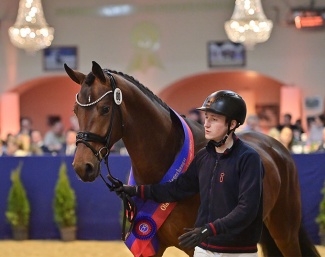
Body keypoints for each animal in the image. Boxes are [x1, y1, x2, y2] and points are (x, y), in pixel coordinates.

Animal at [64, 61, 318, 256]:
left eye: (105, 109)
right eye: (75, 110)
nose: (82, 166)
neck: (165, 161)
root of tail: (276, 148)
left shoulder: (195, 246)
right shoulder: (150, 245)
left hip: (284, 230)